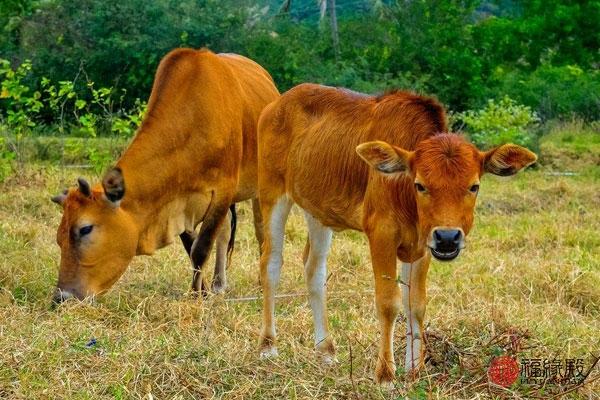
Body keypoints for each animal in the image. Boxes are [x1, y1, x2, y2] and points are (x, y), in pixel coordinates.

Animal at [50, 47, 280, 304]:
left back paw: (262, 282)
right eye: (59, 238)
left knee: (262, 232)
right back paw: (219, 284)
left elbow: (201, 248)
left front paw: (196, 295)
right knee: (224, 232)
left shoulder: (223, 191)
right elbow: (192, 247)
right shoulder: (181, 202)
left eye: (85, 229)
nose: (62, 296)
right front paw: (202, 291)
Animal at [255, 83, 536, 384]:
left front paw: (414, 370)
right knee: (271, 263)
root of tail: (277, 104)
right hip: (272, 194)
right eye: (420, 185)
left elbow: (416, 304)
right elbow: (389, 303)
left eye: (474, 186)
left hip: (317, 210)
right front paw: (386, 375)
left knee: (314, 269)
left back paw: (326, 350)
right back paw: (268, 346)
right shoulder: (381, 235)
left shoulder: (423, 244)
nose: (448, 237)